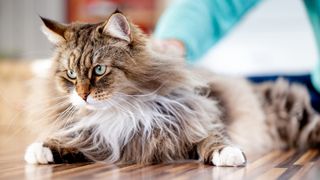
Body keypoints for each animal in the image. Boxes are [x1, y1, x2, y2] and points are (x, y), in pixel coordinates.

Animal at [23, 10, 320, 166]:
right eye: (71, 75)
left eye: (99, 70)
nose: (83, 95)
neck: (120, 112)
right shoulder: (98, 139)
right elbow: (70, 140)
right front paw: (40, 149)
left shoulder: (196, 124)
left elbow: (213, 140)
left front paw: (230, 154)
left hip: (296, 113)